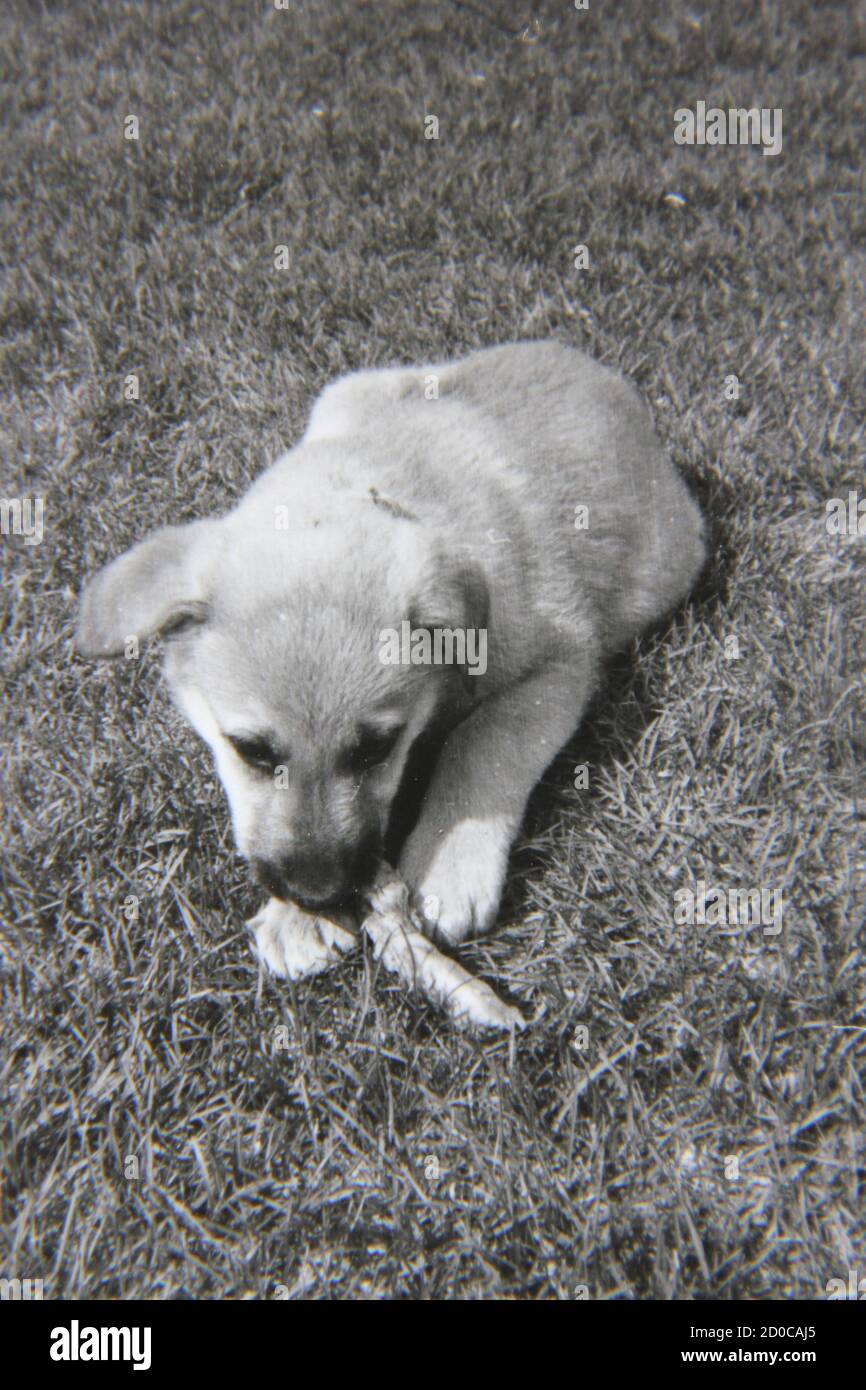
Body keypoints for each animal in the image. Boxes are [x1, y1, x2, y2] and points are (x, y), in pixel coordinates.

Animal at [77, 340, 708, 978]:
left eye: (378, 747)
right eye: (250, 750)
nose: (319, 894)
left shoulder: (559, 665)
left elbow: (481, 746)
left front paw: (449, 863)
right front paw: (295, 921)